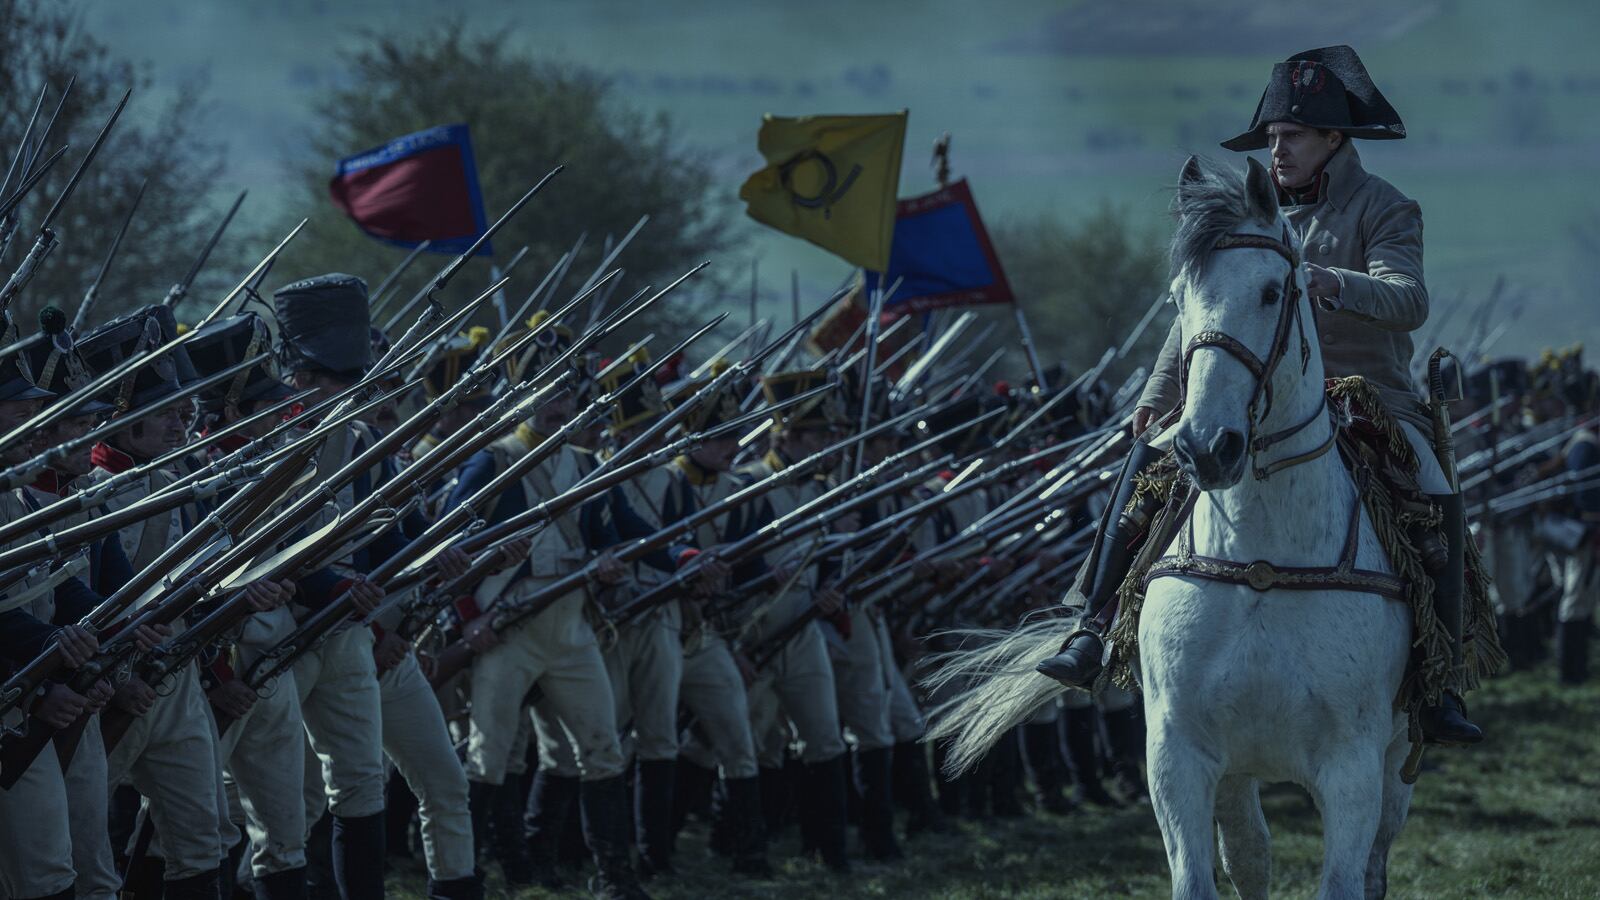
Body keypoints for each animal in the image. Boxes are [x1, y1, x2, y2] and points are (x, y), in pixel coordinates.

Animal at [934, 156, 1414, 896]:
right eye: (1180, 298)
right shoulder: (1179, 756)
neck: (1260, 561)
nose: (1205, 446)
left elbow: (1346, 877)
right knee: (1250, 854)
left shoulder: (1352, 769)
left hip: (1395, 761)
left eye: (1273, 291)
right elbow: (1200, 876)